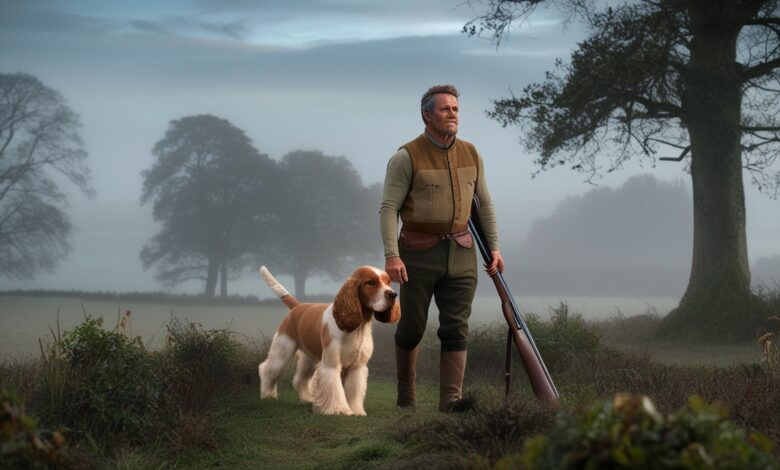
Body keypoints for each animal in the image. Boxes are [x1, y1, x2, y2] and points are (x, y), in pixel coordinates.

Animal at [258, 264, 400, 414]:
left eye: (388, 282)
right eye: (370, 282)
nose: (393, 294)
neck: (358, 327)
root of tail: (298, 306)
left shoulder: (357, 367)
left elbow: (354, 391)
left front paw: (356, 410)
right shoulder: (331, 364)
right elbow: (335, 389)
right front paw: (340, 410)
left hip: (309, 358)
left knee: (301, 378)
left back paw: (307, 398)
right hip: (282, 352)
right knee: (267, 369)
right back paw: (268, 394)